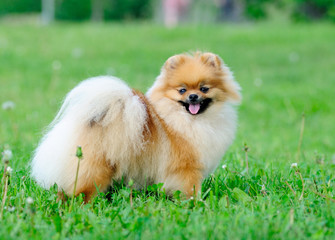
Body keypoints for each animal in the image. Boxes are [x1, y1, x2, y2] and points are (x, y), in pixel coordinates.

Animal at [30, 52, 242, 201]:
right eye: (182, 90)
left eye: (204, 88)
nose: (193, 96)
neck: (191, 121)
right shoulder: (185, 168)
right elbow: (190, 189)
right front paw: (196, 203)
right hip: (95, 169)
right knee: (82, 190)